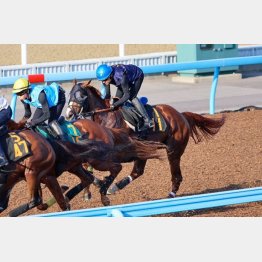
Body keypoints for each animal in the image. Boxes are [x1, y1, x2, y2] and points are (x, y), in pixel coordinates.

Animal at [65, 80, 225, 199]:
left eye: (81, 95)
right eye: (69, 94)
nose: (68, 114)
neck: (106, 116)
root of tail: (181, 115)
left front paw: (97, 187)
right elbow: (87, 165)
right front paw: (88, 192)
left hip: (173, 151)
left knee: (175, 175)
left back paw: (171, 194)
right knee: (138, 171)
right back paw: (114, 187)